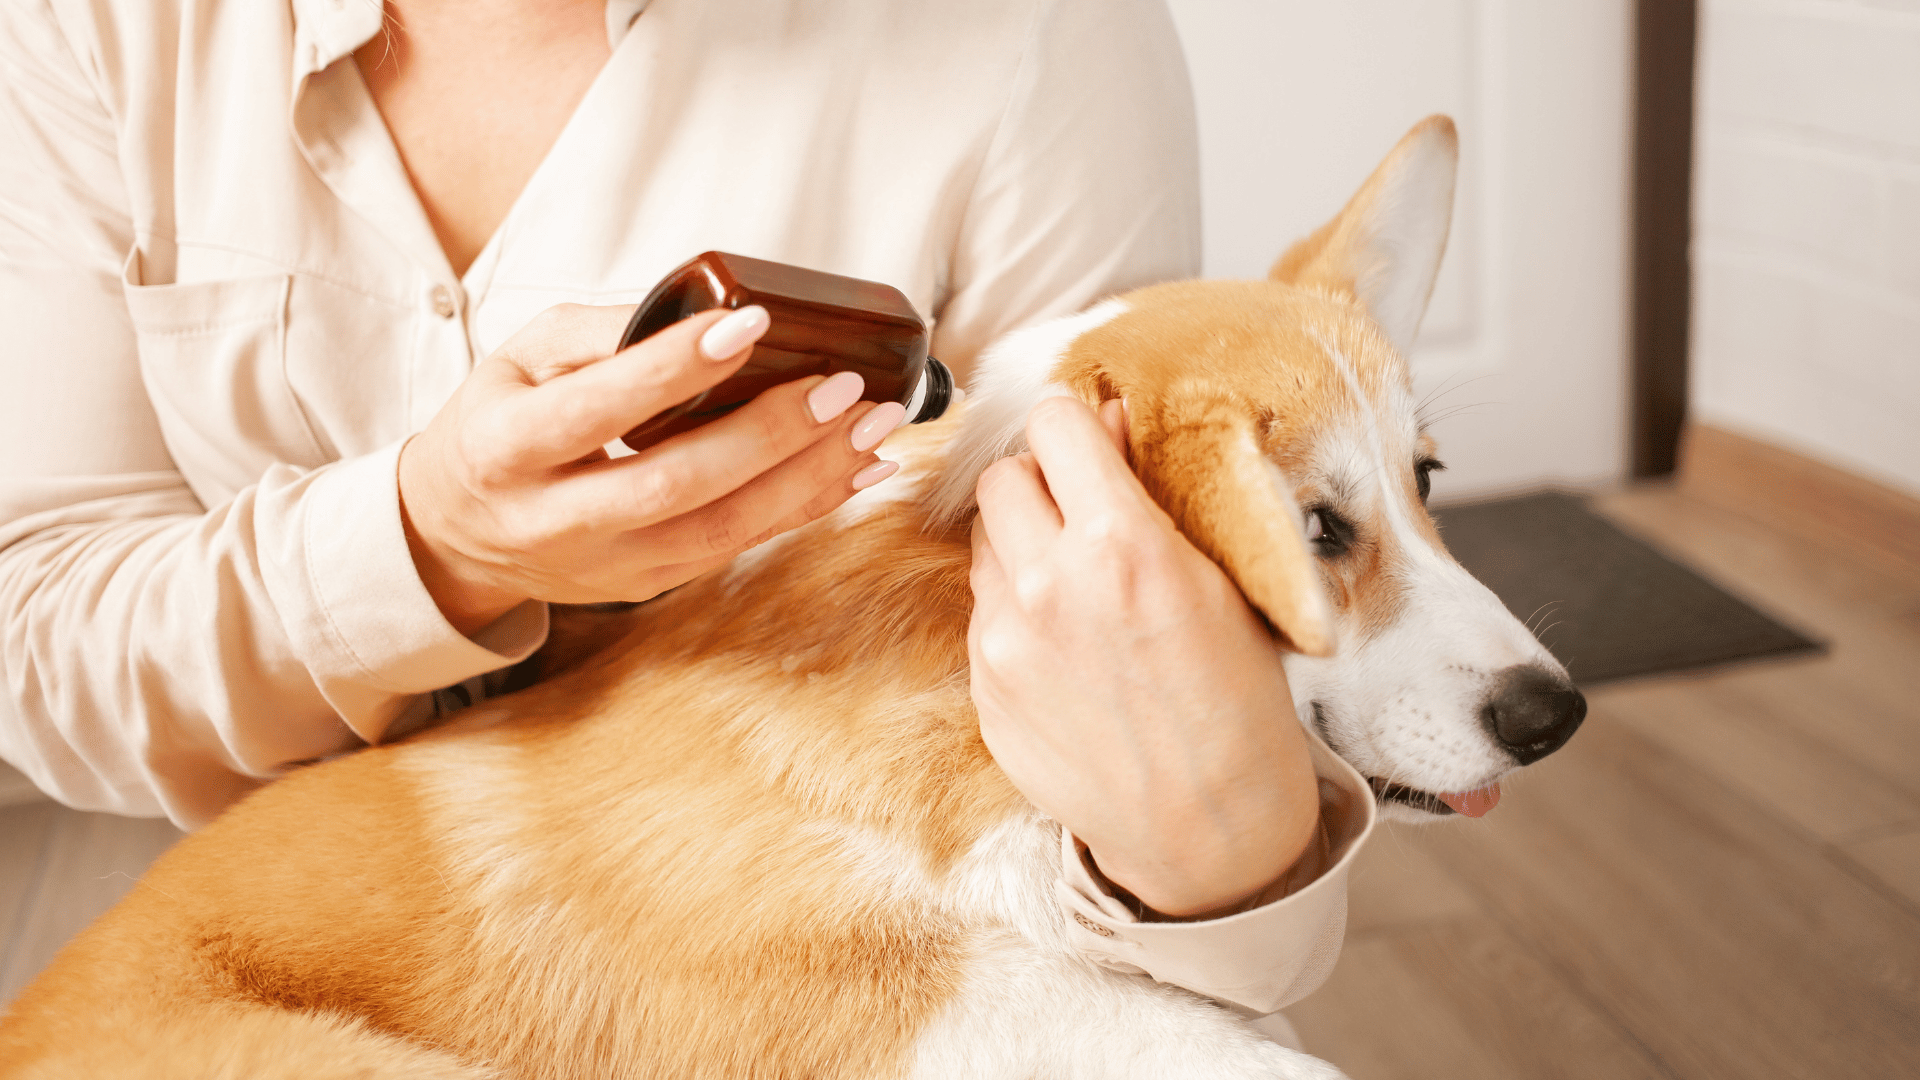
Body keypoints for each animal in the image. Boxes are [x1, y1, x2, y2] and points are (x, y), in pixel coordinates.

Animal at [0, 113, 1582, 1068]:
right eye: (1317, 528)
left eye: (1427, 482)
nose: (1554, 715)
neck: (949, 670)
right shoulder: (861, 997)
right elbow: (1235, 1052)